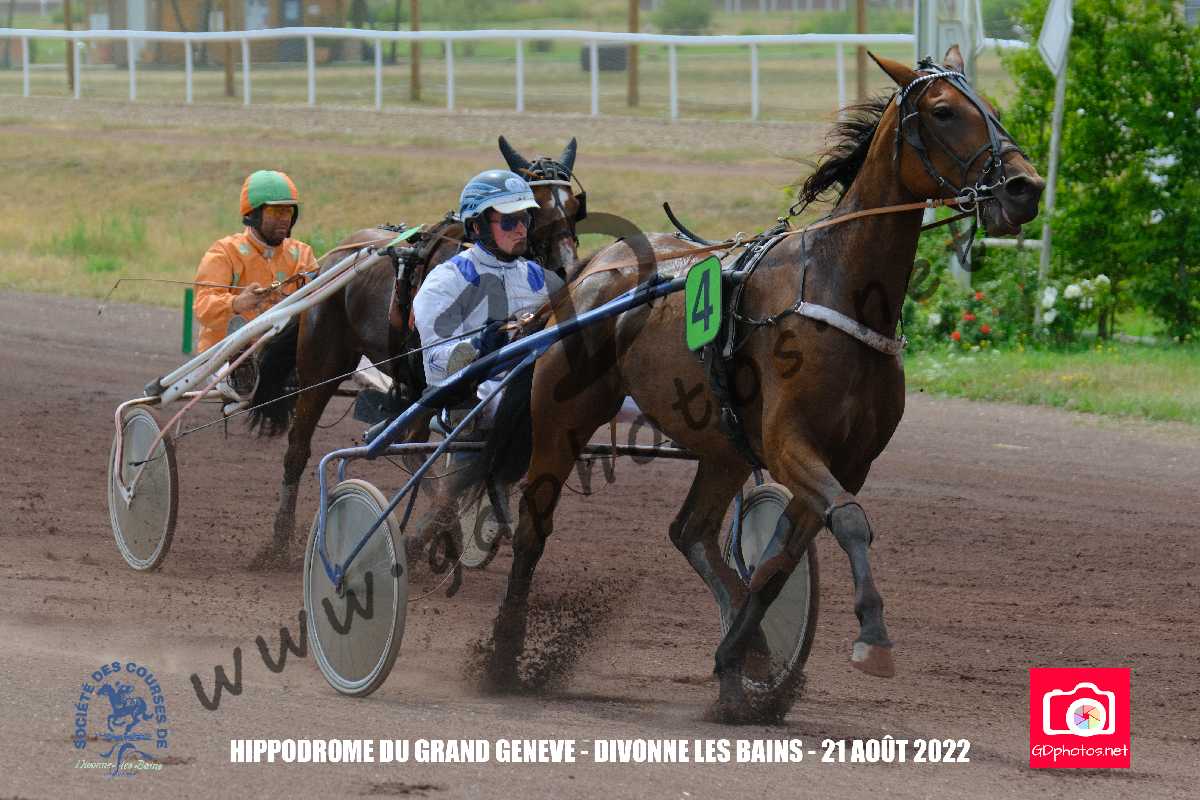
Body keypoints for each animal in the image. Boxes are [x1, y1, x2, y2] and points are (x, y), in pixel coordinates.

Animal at [245, 137, 587, 570]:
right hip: (323, 366)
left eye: (574, 208)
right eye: (536, 209)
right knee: (300, 447)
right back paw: (279, 542)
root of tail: (330, 261)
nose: (567, 268)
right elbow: (430, 457)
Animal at [470, 48, 1045, 720]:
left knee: (691, 532)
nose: (1026, 188)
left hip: (722, 447)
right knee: (534, 526)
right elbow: (850, 523)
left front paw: (739, 664)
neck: (838, 289)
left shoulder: (849, 460)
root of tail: (592, 269)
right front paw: (872, 638)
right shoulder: (789, 442)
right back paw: (505, 656)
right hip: (563, 420)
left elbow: (779, 561)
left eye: (994, 109)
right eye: (945, 111)